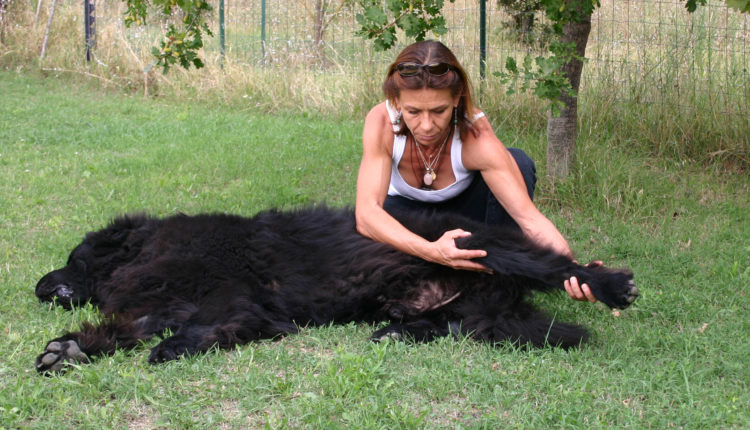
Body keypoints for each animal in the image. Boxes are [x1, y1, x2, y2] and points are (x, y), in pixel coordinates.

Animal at [35, 206, 640, 372]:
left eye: (73, 257)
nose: (38, 289)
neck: (148, 247)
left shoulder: (232, 299)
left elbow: (200, 328)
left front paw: (170, 349)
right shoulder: (168, 302)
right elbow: (125, 327)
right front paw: (69, 349)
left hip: (482, 246)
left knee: (556, 266)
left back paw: (611, 285)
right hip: (443, 301)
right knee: (454, 325)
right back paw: (396, 333)